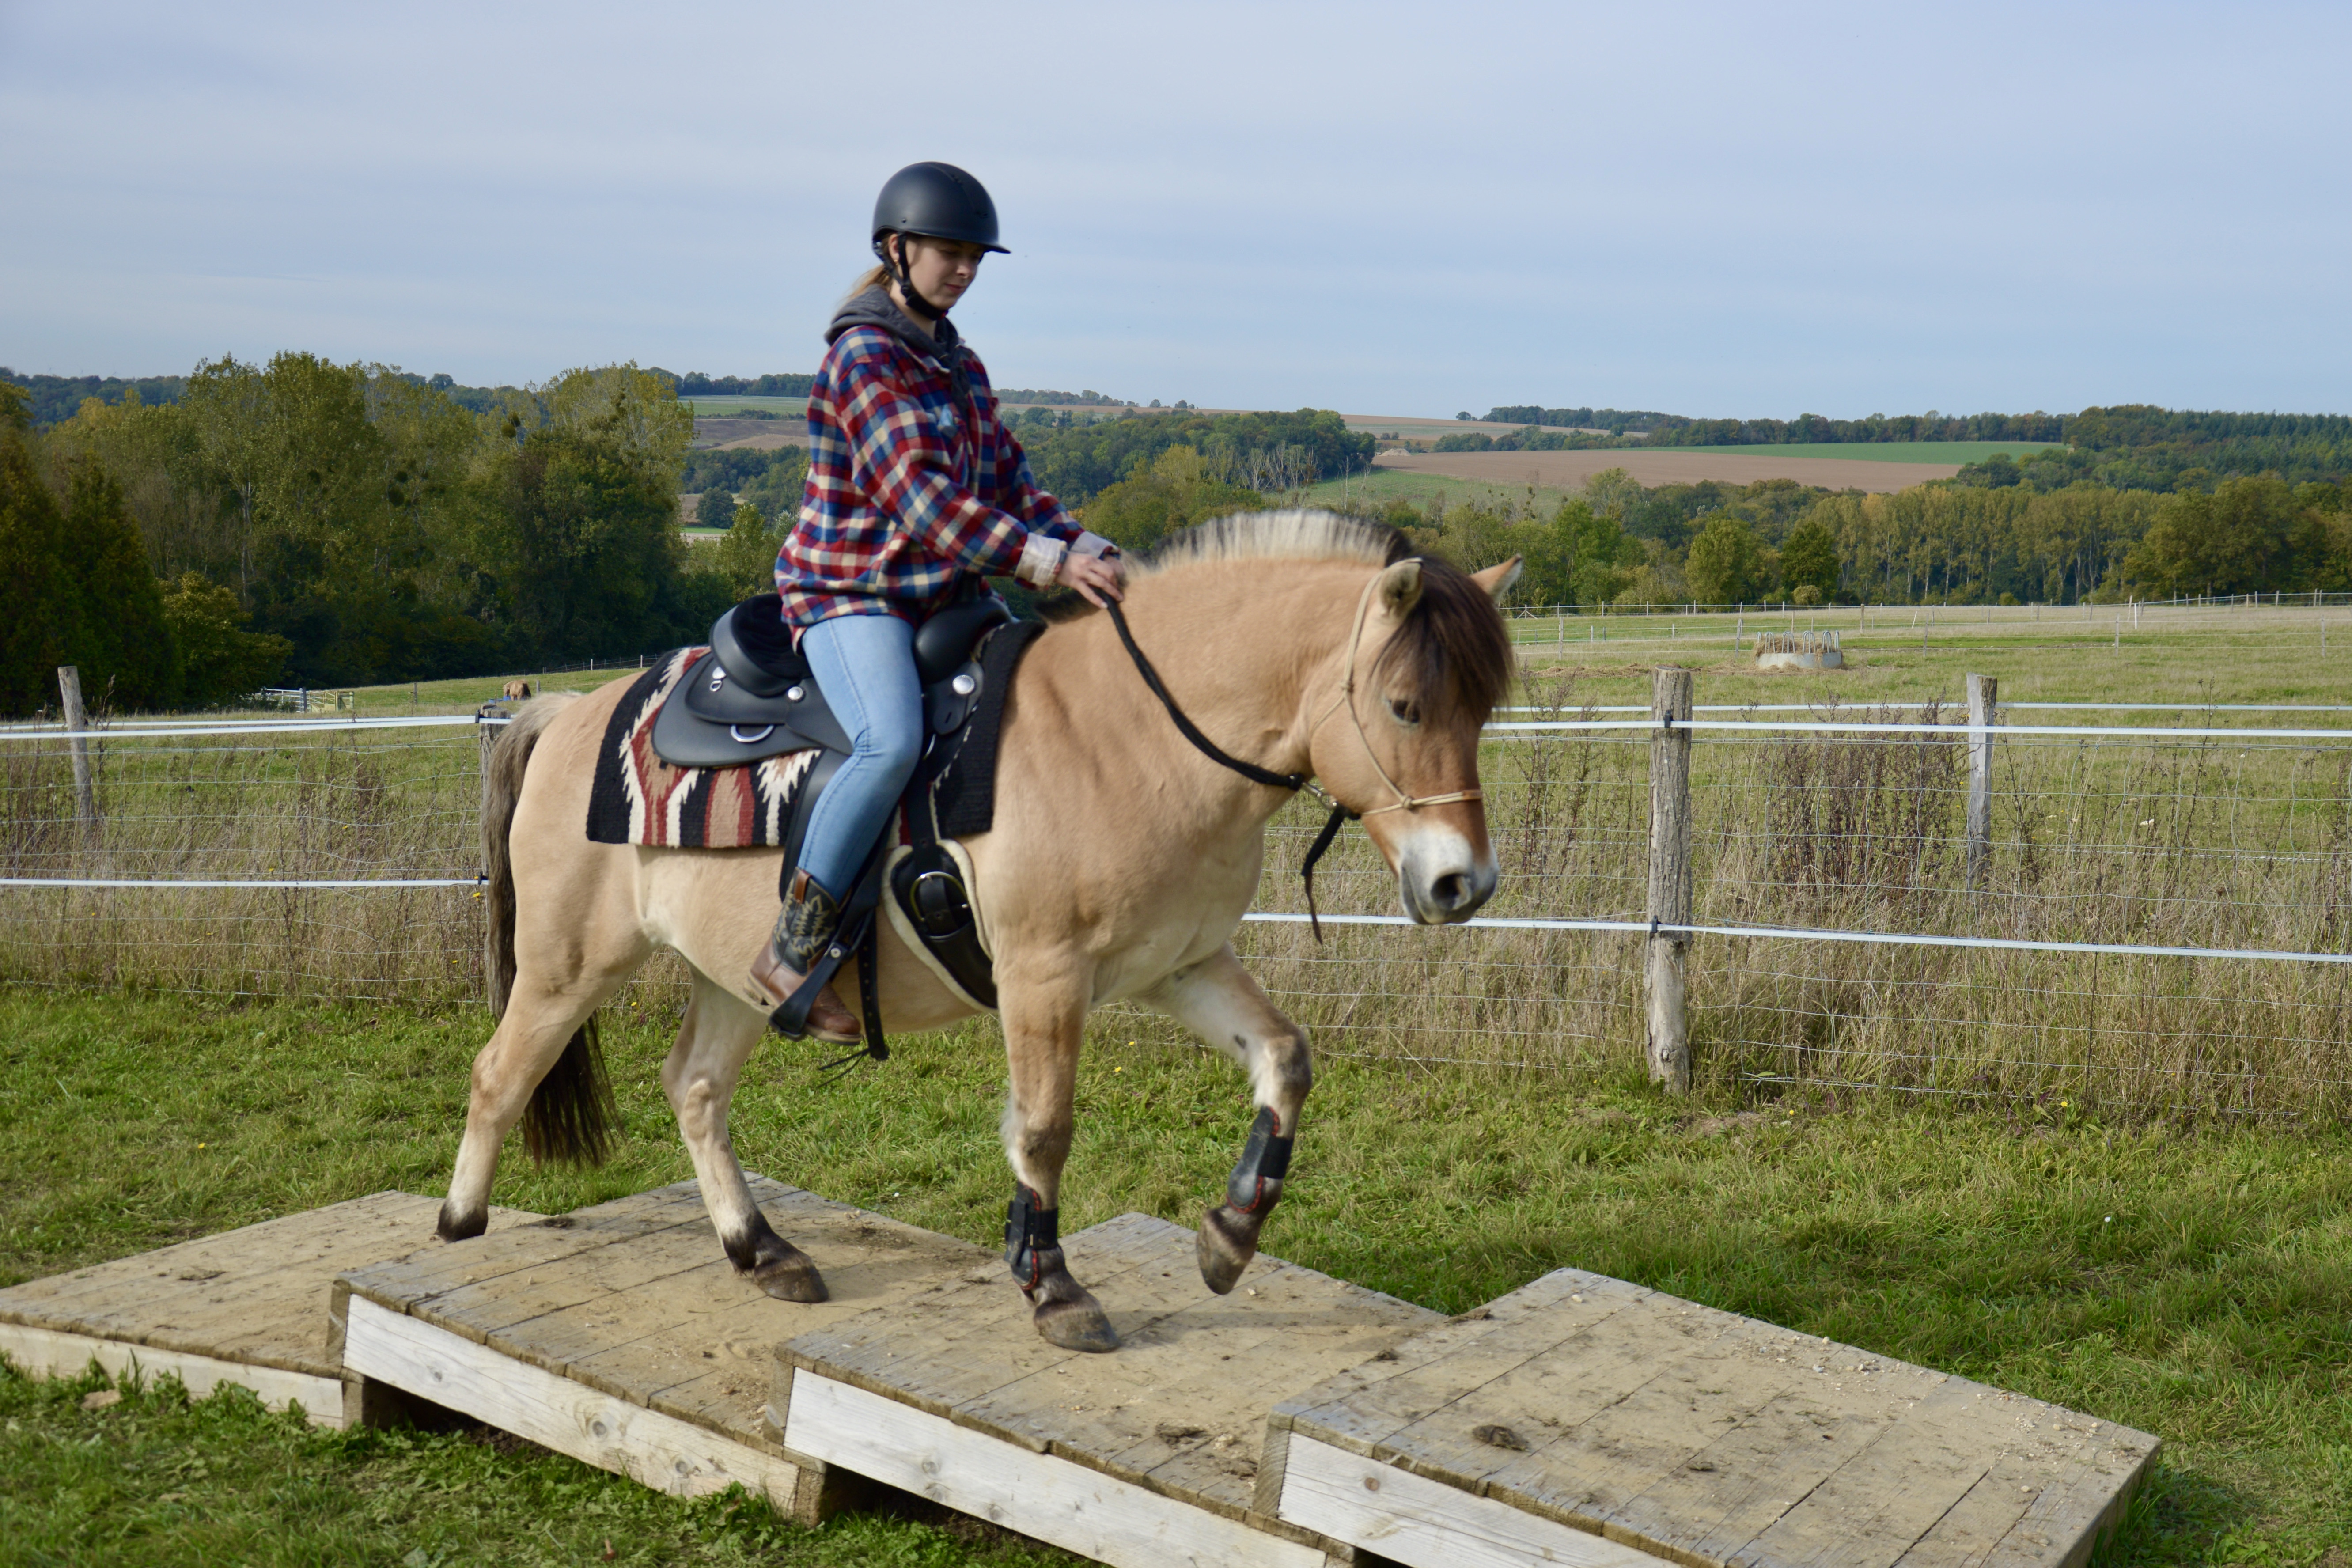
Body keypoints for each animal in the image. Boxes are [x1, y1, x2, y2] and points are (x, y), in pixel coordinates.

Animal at [439, 512, 1515, 1354]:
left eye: (1481, 710)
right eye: (1404, 704)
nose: (1461, 882)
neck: (1130, 737)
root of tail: (564, 713)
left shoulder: (1181, 964)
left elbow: (1285, 1059)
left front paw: (1230, 1234)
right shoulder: (1044, 975)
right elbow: (1042, 1128)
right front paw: (1054, 1287)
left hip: (731, 977)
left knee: (695, 1089)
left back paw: (763, 1250)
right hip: (568, 962)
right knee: (498, 1072)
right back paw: (459, 1220)